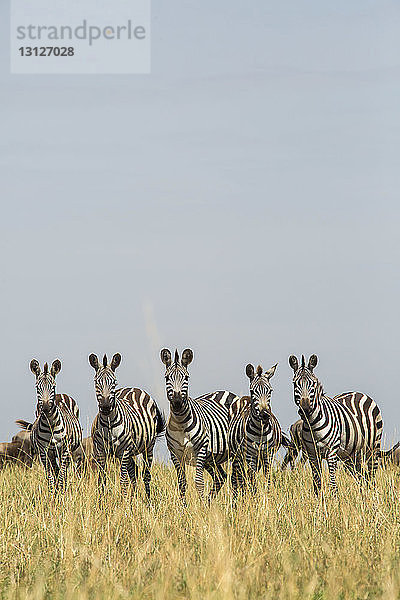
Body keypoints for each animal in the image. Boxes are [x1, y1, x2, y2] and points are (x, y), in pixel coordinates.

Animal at [16, 358, 83, 490]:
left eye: (53, 386)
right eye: (37, 387)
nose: (46, 407)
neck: (51, 423)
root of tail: (60, 395)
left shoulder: (64, 449)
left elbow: (61, 475)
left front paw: (62, 493)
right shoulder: (44, 451)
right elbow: (50, 477)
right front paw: (52, 494)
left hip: (67, 451)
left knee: (63, 470)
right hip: (52, 454)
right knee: (56, 470)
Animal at [89, 352, 166, 496]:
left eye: (114, 382)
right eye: (96, 382)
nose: (106, 407)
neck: (108, 423)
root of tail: (134, 388)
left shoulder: (123, 451)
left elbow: (123, 481)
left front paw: (123, 500)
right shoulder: (100, 451)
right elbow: (101, 480)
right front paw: (102, 502)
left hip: (148, 447)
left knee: (145, 474)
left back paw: (147, 500)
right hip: (131, 451)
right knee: (134, 471)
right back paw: (133, 499)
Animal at [160, 350, 239, 504]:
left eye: (186, 377)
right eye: (167, 378)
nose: (177, 403)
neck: (181, 423)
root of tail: (226, 392)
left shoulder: (201, 450)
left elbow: (198, 482)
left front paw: (201, 506)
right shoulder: (175, 454)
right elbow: (182, 482)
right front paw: (184, 507)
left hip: (233, 452)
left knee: (237, 478)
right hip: (212, 458)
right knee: (220, 477)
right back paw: (209, 502)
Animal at [228, 364, 288, 500]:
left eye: (270, 391)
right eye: (252, 391)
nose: (264, 415)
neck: (260, 431)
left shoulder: (268, 455)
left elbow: (267, 478)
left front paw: (267, 498)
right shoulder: (249, 455)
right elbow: (251, 479)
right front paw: (254, 499)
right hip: (237, 456)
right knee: (237, 477)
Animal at [290, 356, 382, 492]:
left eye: (313, 383)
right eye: (295, 383)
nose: (305, 408)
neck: (312, 424)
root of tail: (358, 392)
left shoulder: (332, 452)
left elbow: (333, 485)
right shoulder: (312, 454)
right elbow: (317, 484)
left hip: (373, 448)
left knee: (371, 476)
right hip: (352, 455)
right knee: (361, 478)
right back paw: (363, 496)